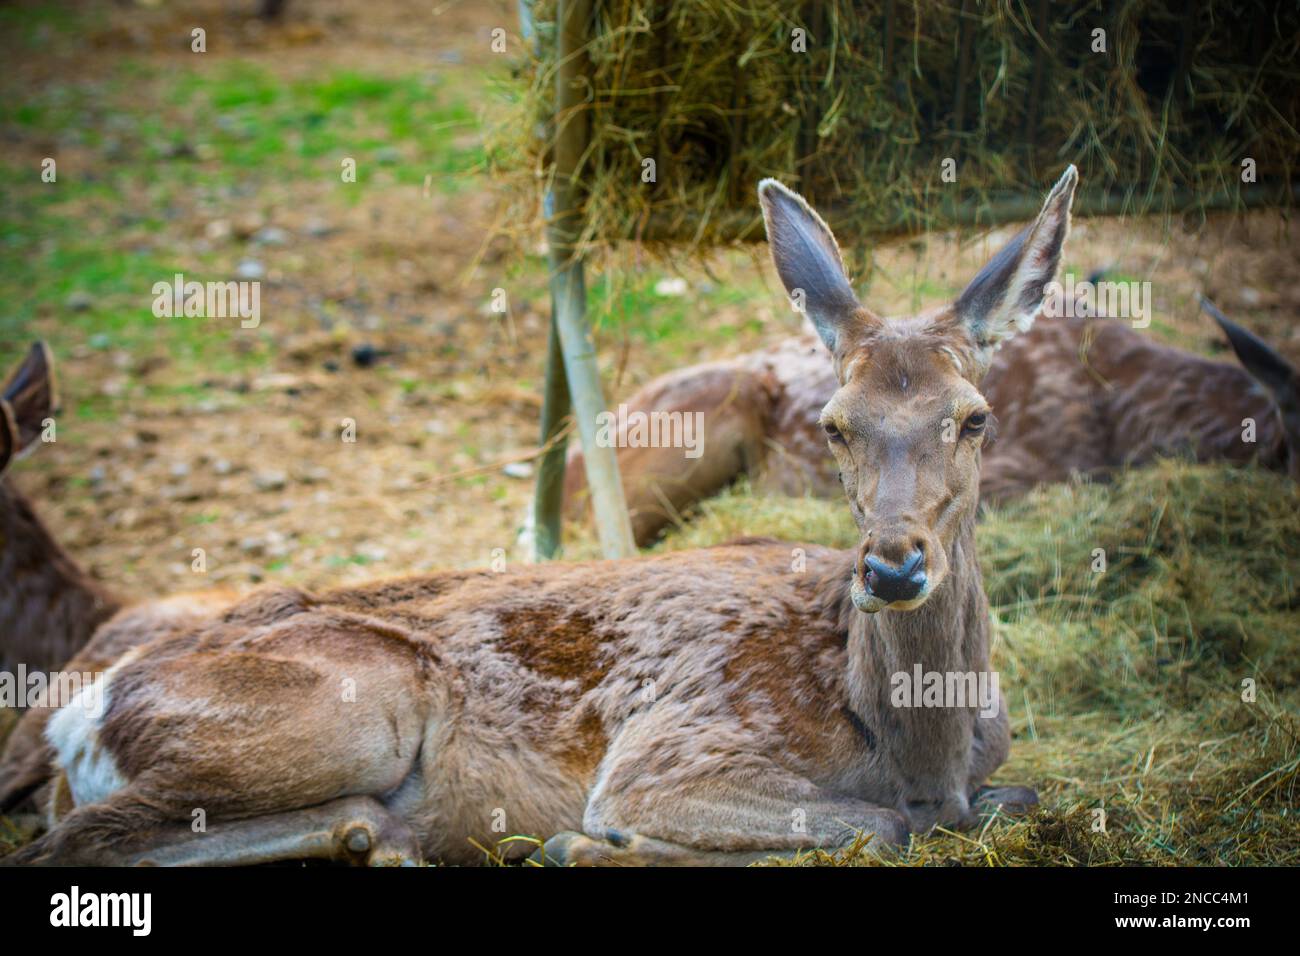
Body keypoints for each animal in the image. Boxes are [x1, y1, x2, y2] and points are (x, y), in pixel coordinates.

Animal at [7, 166, 1079, 867]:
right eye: (834, 423)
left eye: (975, 416)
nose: (893, 566)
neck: (914, 743)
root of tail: (78, 718)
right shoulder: (673, 750)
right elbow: (882, 826)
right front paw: (592, 842)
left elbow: (1004, 796)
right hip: (355, 707)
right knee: (63, 843)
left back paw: (379, 838)